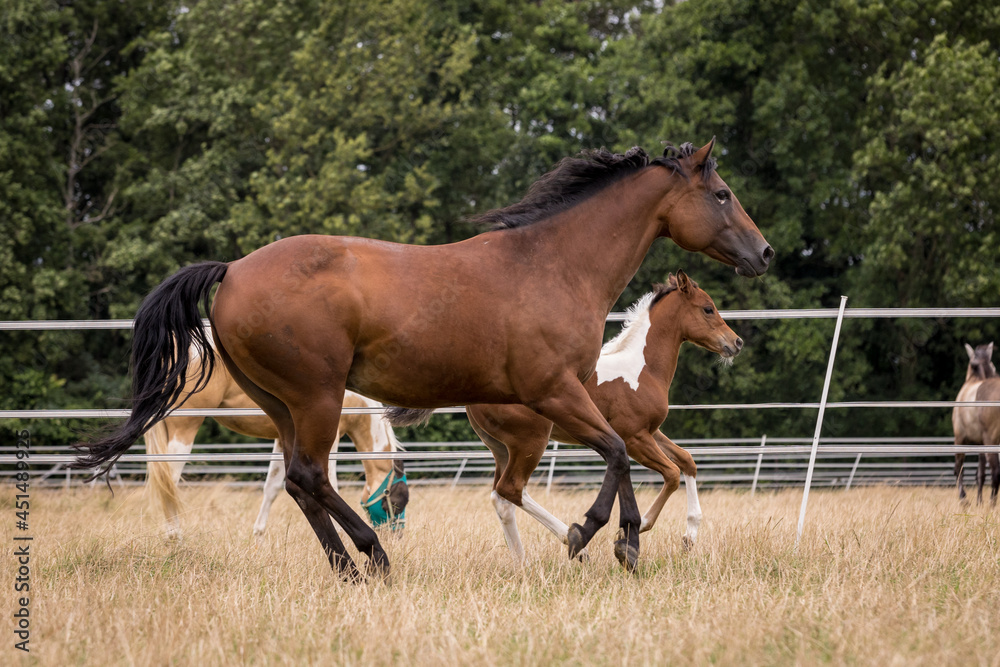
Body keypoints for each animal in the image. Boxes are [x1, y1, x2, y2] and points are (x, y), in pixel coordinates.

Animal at [144, 341, 408, 539]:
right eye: (397, 500)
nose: (396, 536)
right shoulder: (327, 442)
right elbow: (329, 481)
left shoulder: (284, 441)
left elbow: (272, 487)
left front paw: (259, 536)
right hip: (184, 429)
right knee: (169, 481)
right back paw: (174, 536)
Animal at [392, 271, 737, 562]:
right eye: (708, 309)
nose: (736, 342)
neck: (641, 368)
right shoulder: (635, 437)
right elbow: (671, 473)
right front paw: (641, 527)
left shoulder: (650, 432)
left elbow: (687, 461)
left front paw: (689, 536)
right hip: (530, 441)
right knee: (511, 489)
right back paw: (574, 542)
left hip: (502, 447)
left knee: (501, 498)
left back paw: (523, 563)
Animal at [952, 342, 1000, 505]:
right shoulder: (981, 443)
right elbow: (980, 474)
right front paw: (979, 501)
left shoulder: (960, 439)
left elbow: (959, 468)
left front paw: (963, 498)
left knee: (995, 471)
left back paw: (992, 504)